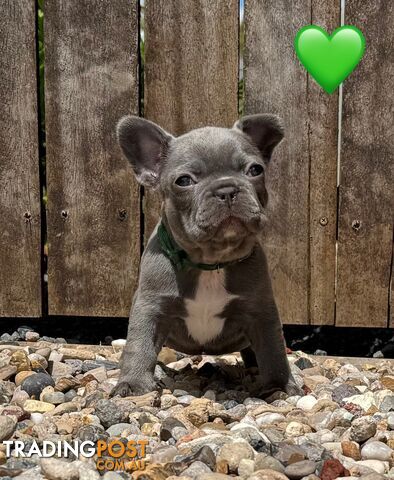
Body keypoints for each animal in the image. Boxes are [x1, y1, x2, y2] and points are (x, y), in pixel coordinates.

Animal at [111, 112, 302, 398]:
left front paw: (279, 385)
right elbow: (140, 345)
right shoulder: (151, 307)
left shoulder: (261, 312)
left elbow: (273, 350)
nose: (226, 190)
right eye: (184, 181)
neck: (211, 262)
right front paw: (133, 384)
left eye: (255, 170)